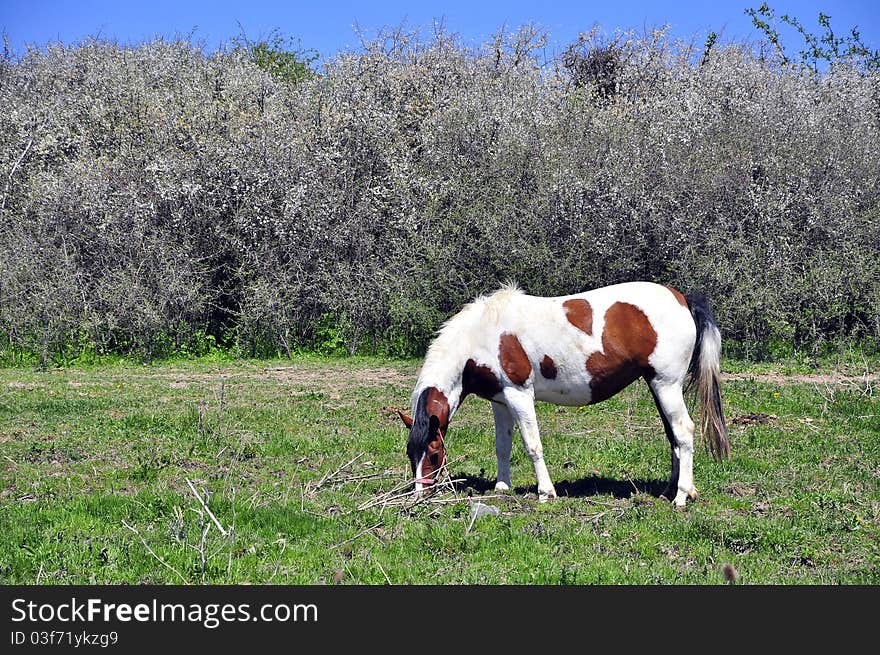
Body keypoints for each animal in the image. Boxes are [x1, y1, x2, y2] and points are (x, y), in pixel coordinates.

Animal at [398, 282, 728, 508]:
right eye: (410, 453)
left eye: (434, 453)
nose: (420, 495)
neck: (483, 334)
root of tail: (682, 298)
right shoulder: (500, 401)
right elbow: (502, 446)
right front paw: (502, 487)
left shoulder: (519, 395)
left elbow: (532, 445)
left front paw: (546, 492)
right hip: (657, 385)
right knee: (673, 436)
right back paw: (673, 489)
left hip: (666, 384)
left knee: (683, 431)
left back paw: (682, 497)